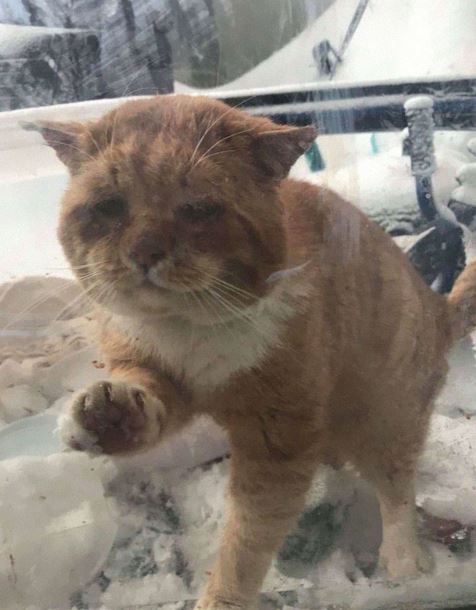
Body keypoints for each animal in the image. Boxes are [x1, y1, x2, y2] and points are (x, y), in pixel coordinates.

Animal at [27, 96, 476, 608]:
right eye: (108, 206)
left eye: (198, 208)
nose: (144, 252)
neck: (188, 332)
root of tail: (439, 306)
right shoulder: (152, 373)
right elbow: (143, 396)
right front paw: (107, 416)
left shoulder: (276, 441)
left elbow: (246, 544)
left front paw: (219, 597)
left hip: (384, 416)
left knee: (396, 488)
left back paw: (404, 562)